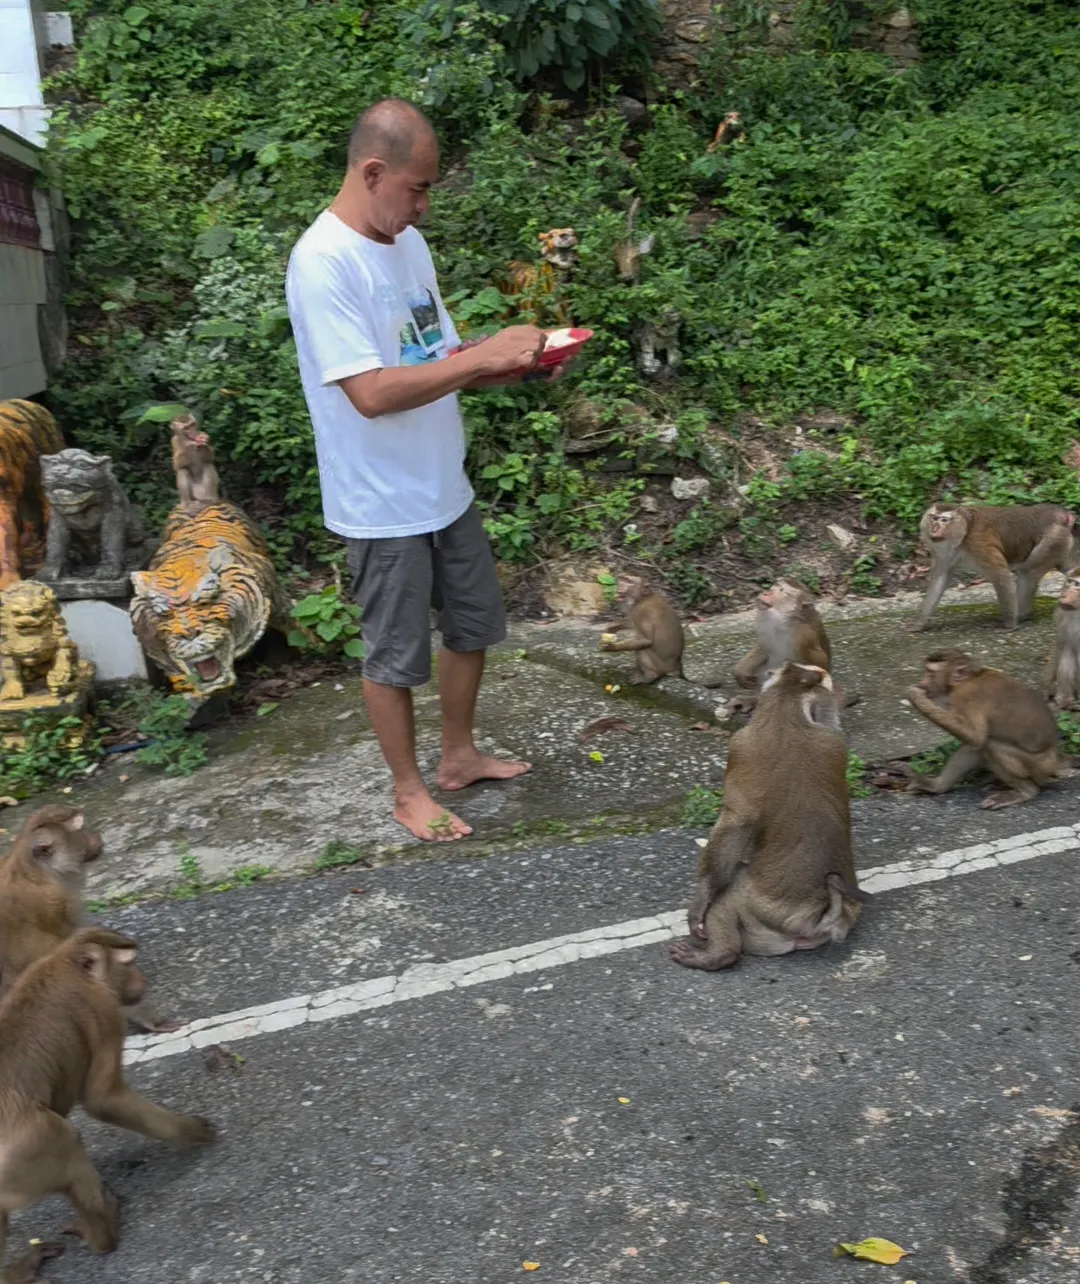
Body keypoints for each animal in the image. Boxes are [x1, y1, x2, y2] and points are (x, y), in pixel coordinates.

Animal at [0, 928, 215, 1281]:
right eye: (128, 964)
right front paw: (193, 1131)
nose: (143, 979)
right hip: (31, 1144)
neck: (66, 962)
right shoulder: (103, 1012)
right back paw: (104, 1234)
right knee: (64, 1136)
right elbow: (102, 1099)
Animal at [669, 663, 871, 972]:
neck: (787, 712)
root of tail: (819, 919)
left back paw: (717, 955)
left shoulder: (740, 745)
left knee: (729, 893)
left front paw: (698, 906)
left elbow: (736, 824)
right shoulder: (834, 741)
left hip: (763, 910)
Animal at [906, 648, 1062, 809]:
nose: (922, 682)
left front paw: (916, 698)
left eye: (930, 673)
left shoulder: (965, 698)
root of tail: (1056, 760)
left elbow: (976, 738)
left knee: (989, 744)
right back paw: (937, 786)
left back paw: (1027, 791)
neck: (967, 680)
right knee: (977, 748)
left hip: (1038, 766)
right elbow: (973, 743)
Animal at [907, 502, 1078, 632]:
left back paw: (1020, 615)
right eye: (934, 518)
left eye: (944, 520)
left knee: (1027, 572)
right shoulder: (945, 553)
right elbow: (940, 579)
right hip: (1062, 543)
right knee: (1070, 569)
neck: (964, 533)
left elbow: (1000, 575)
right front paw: (918, 623)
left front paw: (1009, 624)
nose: (934, 528)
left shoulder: (978, 545)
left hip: (1053, 540)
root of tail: (1061, 514)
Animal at [1044, 569, 1080, 710]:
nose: (1064, 595)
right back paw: (1065, 700)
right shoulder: (1063, 615)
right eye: (1069, 581)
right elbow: (1063, 642)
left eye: (1077, 584)